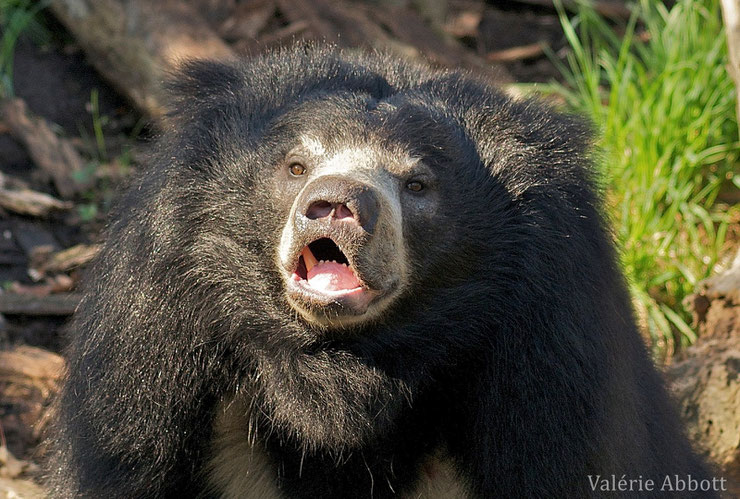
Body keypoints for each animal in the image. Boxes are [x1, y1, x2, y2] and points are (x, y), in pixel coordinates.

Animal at [49, 45, 712, 498]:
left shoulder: (551, 332)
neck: (340, 366)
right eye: (296, 166)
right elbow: (123, 454)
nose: (338, 203)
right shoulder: (158, 309)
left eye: (417, 184)